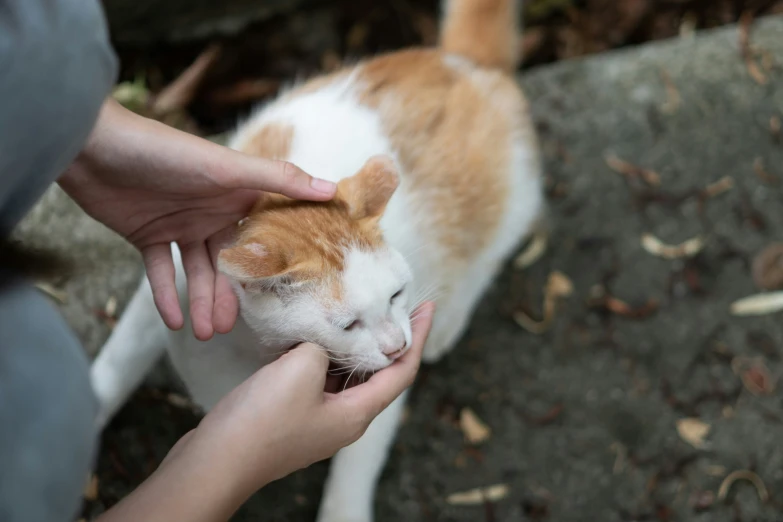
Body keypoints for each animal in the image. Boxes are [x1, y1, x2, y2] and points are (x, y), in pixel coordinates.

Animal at [90, 2, 544, 516]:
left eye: (397, 295)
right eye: (348, 324)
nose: (398, 348)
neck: (249, 344)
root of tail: (459, 62)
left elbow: (360, 456)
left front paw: (343, 511)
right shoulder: (168, 285)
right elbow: (120, 356)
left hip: (506, 204)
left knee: (487, 256)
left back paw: (448, 319)